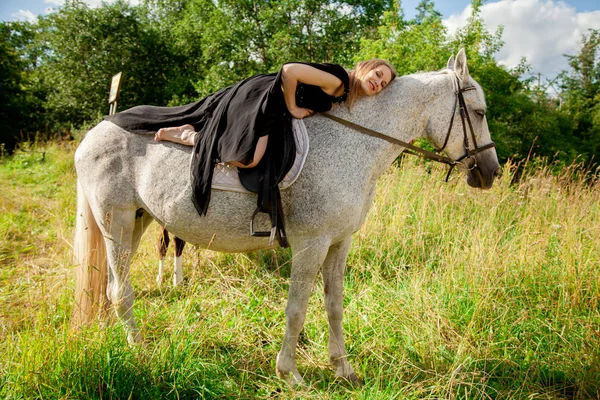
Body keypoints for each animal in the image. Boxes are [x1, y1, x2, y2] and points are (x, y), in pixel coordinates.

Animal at [72, 50, 500, 384]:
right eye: (479, 112)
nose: (491, 172)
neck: (355, 140)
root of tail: (95, 132)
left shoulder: (339, 243)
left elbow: (334, 305)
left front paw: (343, 369)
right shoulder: (311, 244)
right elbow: (296, 309)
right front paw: (290, 373)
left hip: (138, 220)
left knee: (111, 285)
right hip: (115, 219)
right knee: (120, 291)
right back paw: (140, 350)